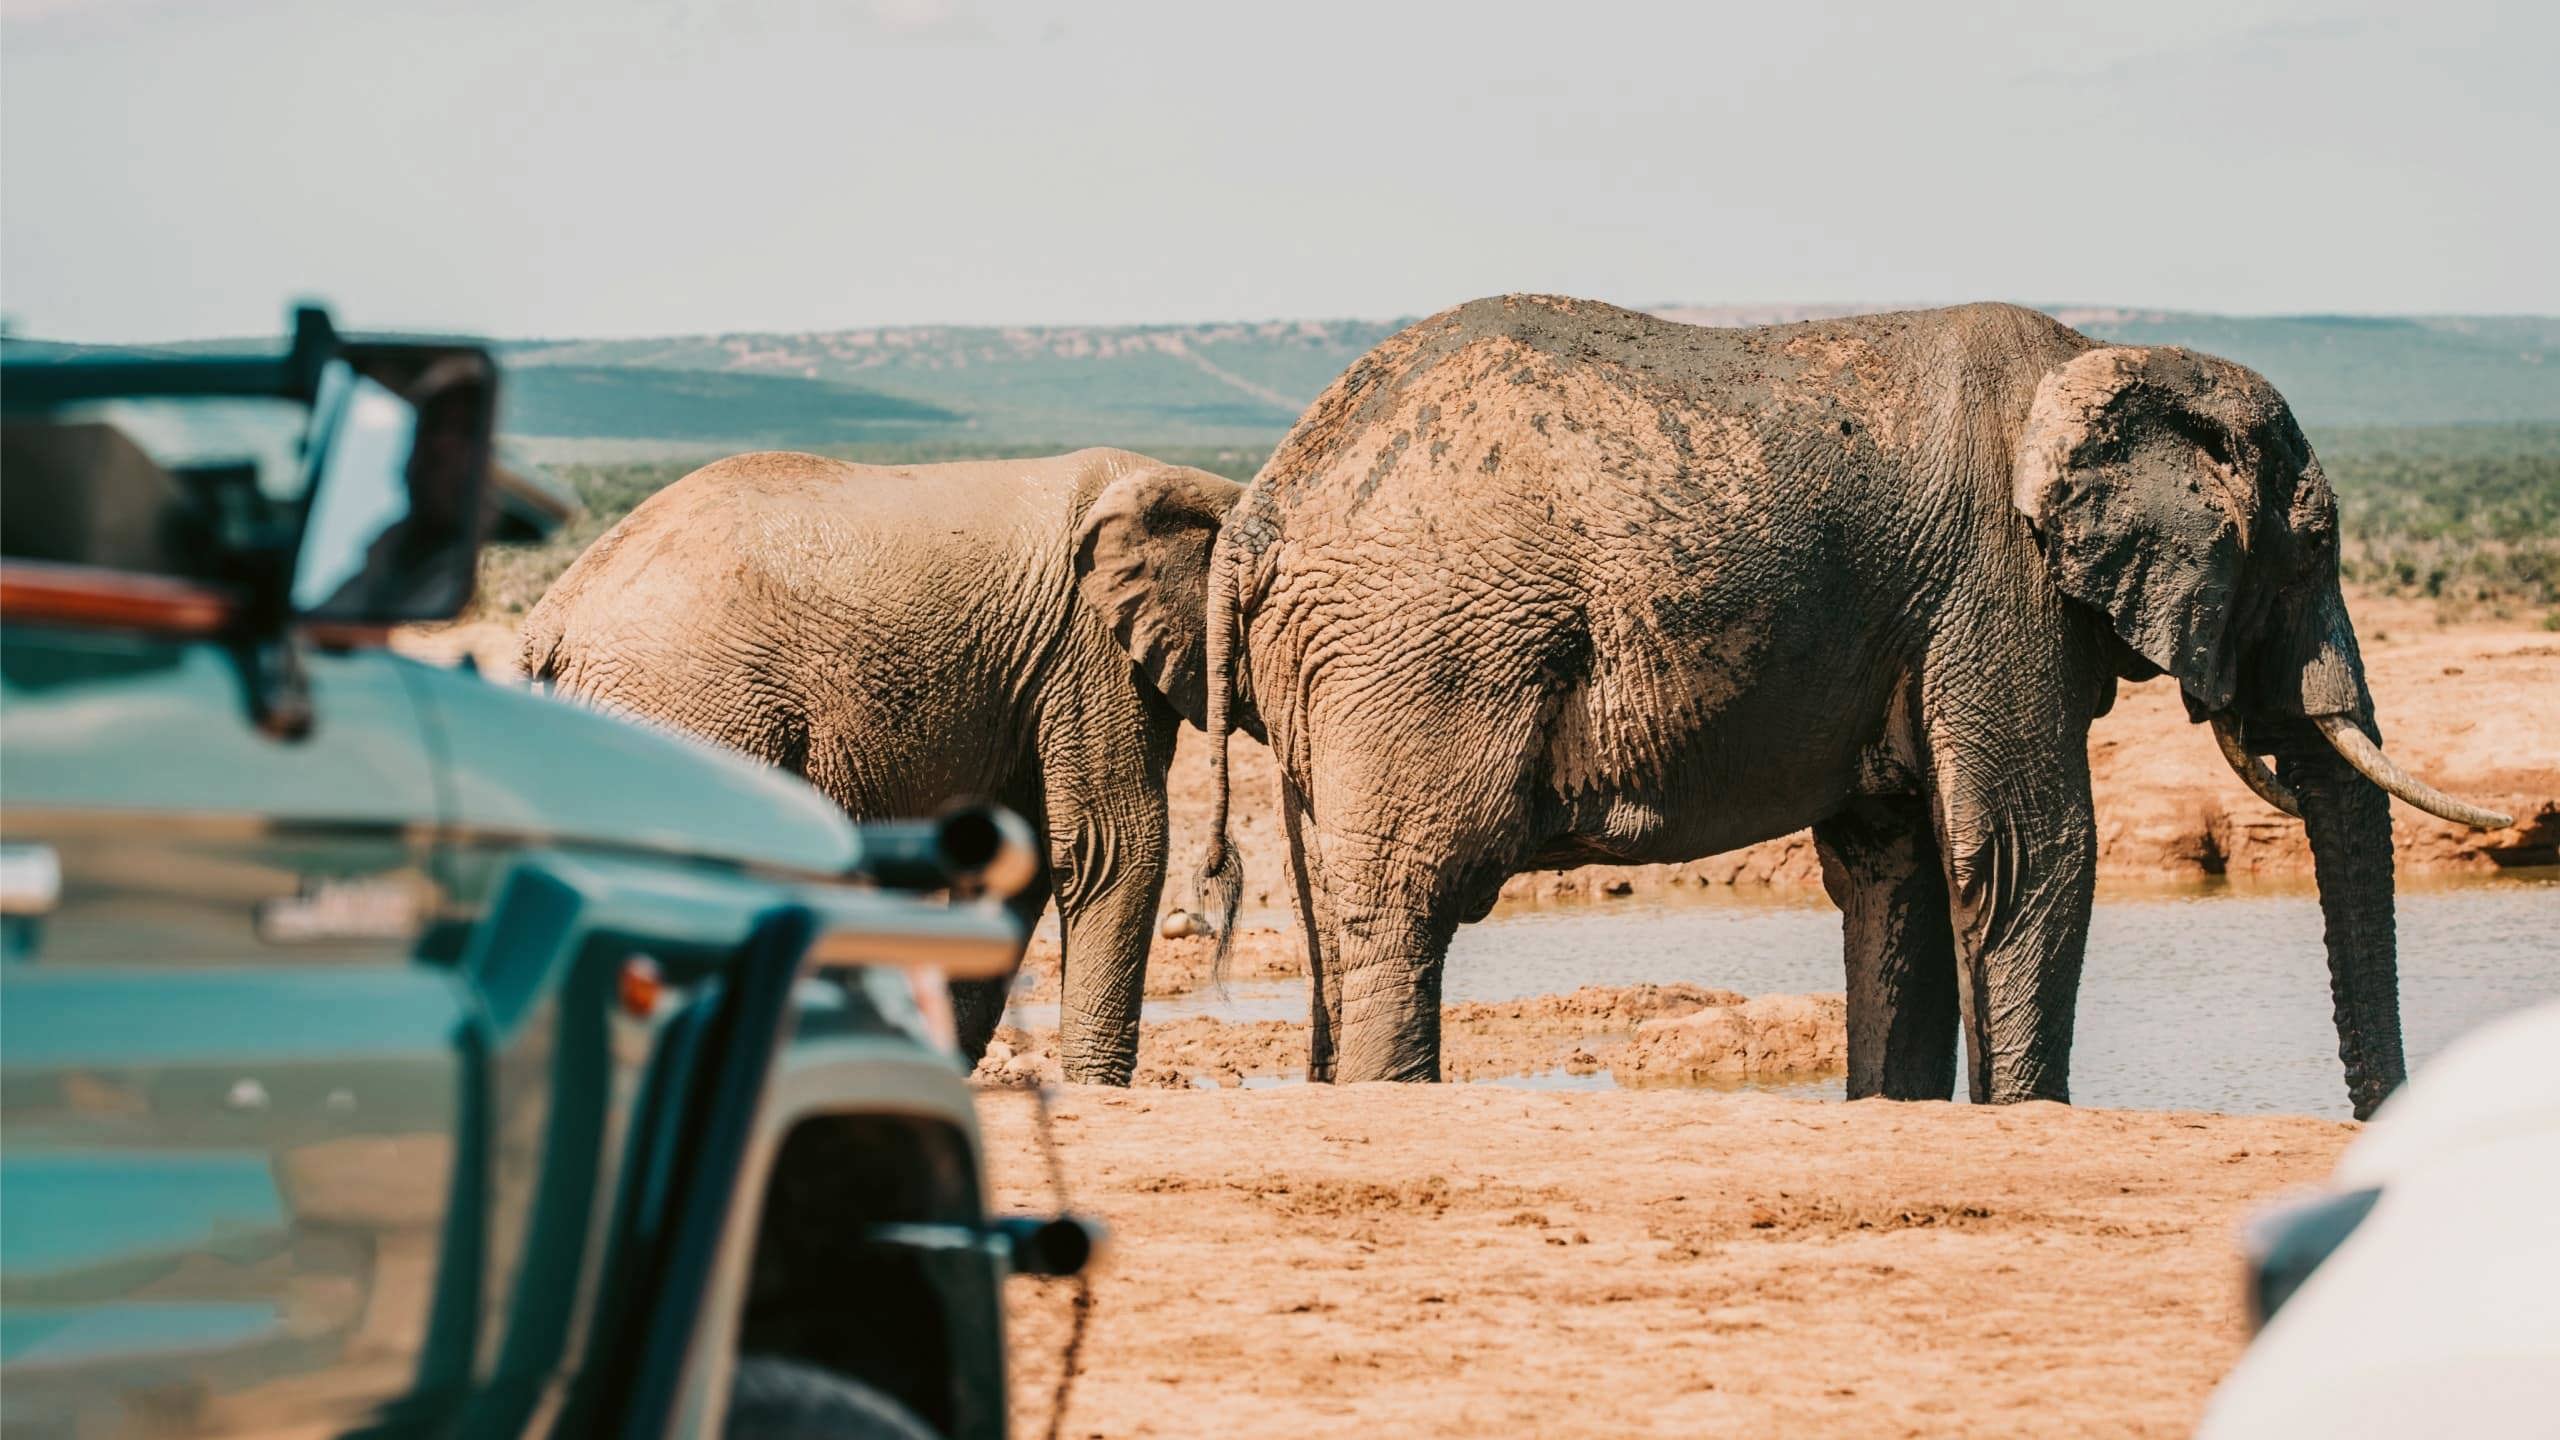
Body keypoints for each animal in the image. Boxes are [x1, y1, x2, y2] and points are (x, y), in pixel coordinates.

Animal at [519, 448, 1243, 1083]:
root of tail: (552, 617)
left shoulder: (1027, 682)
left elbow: (1014, 857)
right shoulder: (1089, 656)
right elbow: (1111, 847)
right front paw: (1100, 1086)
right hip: (690, 704)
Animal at [1138, 294, 2508, 1117]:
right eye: (2312, 544)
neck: (2112, 359)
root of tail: (1264, 503)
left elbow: (1896, 867)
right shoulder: (1995, 587)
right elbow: (2030, 847)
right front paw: (2028, 1119)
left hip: (1343, 672)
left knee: (1337, 904)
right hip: (1421, 650)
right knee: (1409, 895)